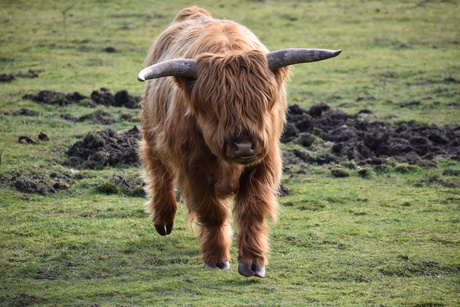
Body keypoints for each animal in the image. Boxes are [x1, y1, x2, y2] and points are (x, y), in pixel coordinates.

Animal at [138, 6, 340, 278]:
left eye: (263, 104)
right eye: (214, 109)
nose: (244, 146)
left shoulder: (264, 162)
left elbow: (252, 211)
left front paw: (253, 262)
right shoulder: (192, 168)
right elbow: (212, 212)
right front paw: (216, 258)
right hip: (152, 132)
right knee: (158, 168)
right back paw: (163, 219)